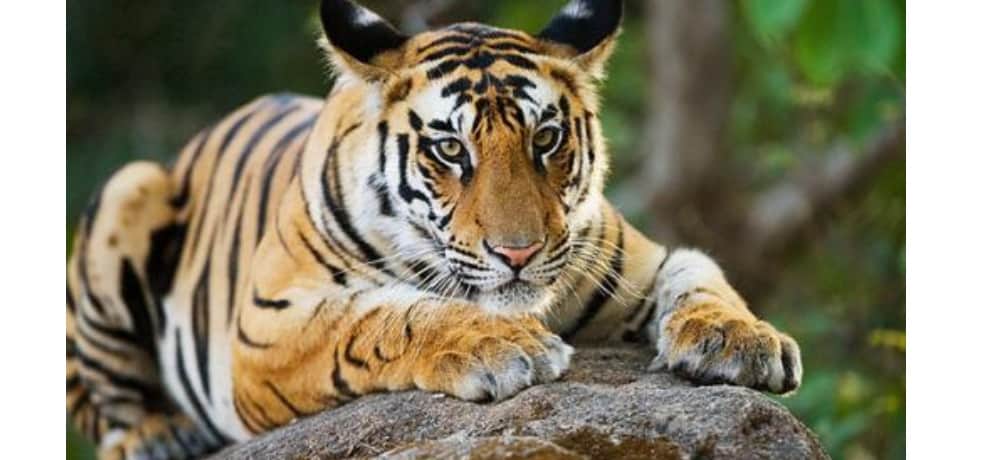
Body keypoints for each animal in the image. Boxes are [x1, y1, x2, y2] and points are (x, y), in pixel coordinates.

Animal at [66, 0, 803, 458]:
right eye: (450, 149)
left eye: (546, 138)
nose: (518, 252)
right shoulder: (267, 323)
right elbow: (385, 316)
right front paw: (501, 347)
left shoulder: (643, 259)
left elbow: (706, 279)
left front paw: (739, 340)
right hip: (129, 190)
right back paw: (158, 436)